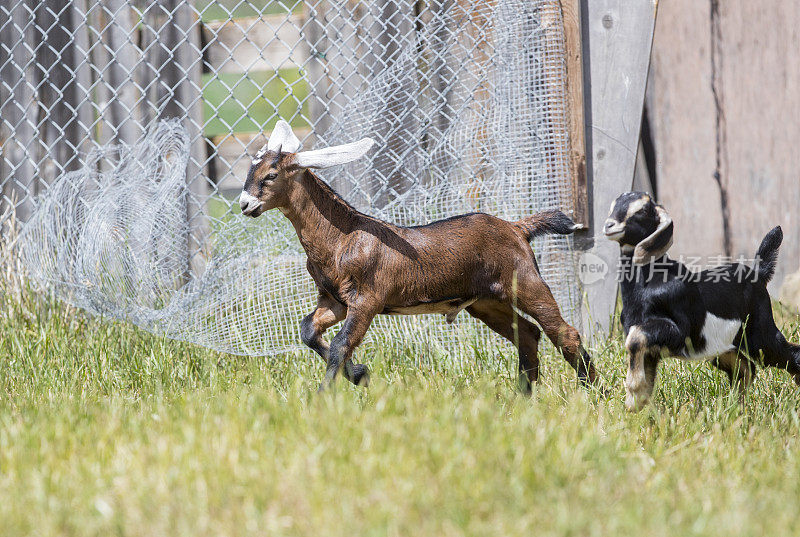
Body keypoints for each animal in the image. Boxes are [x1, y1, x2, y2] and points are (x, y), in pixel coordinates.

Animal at [239, 120, 600, 390]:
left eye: (271, 175)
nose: (245, 204)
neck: (343, 236)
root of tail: (516, 227)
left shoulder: (368, 299)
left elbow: (341, 344)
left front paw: (326, 396)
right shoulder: (334, 300)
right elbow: (309, 330)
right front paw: (359, 375)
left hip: (524, 281)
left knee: (563, 332)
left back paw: (593, 392)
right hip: (486, 301)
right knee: (527, 334)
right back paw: (524, 398)